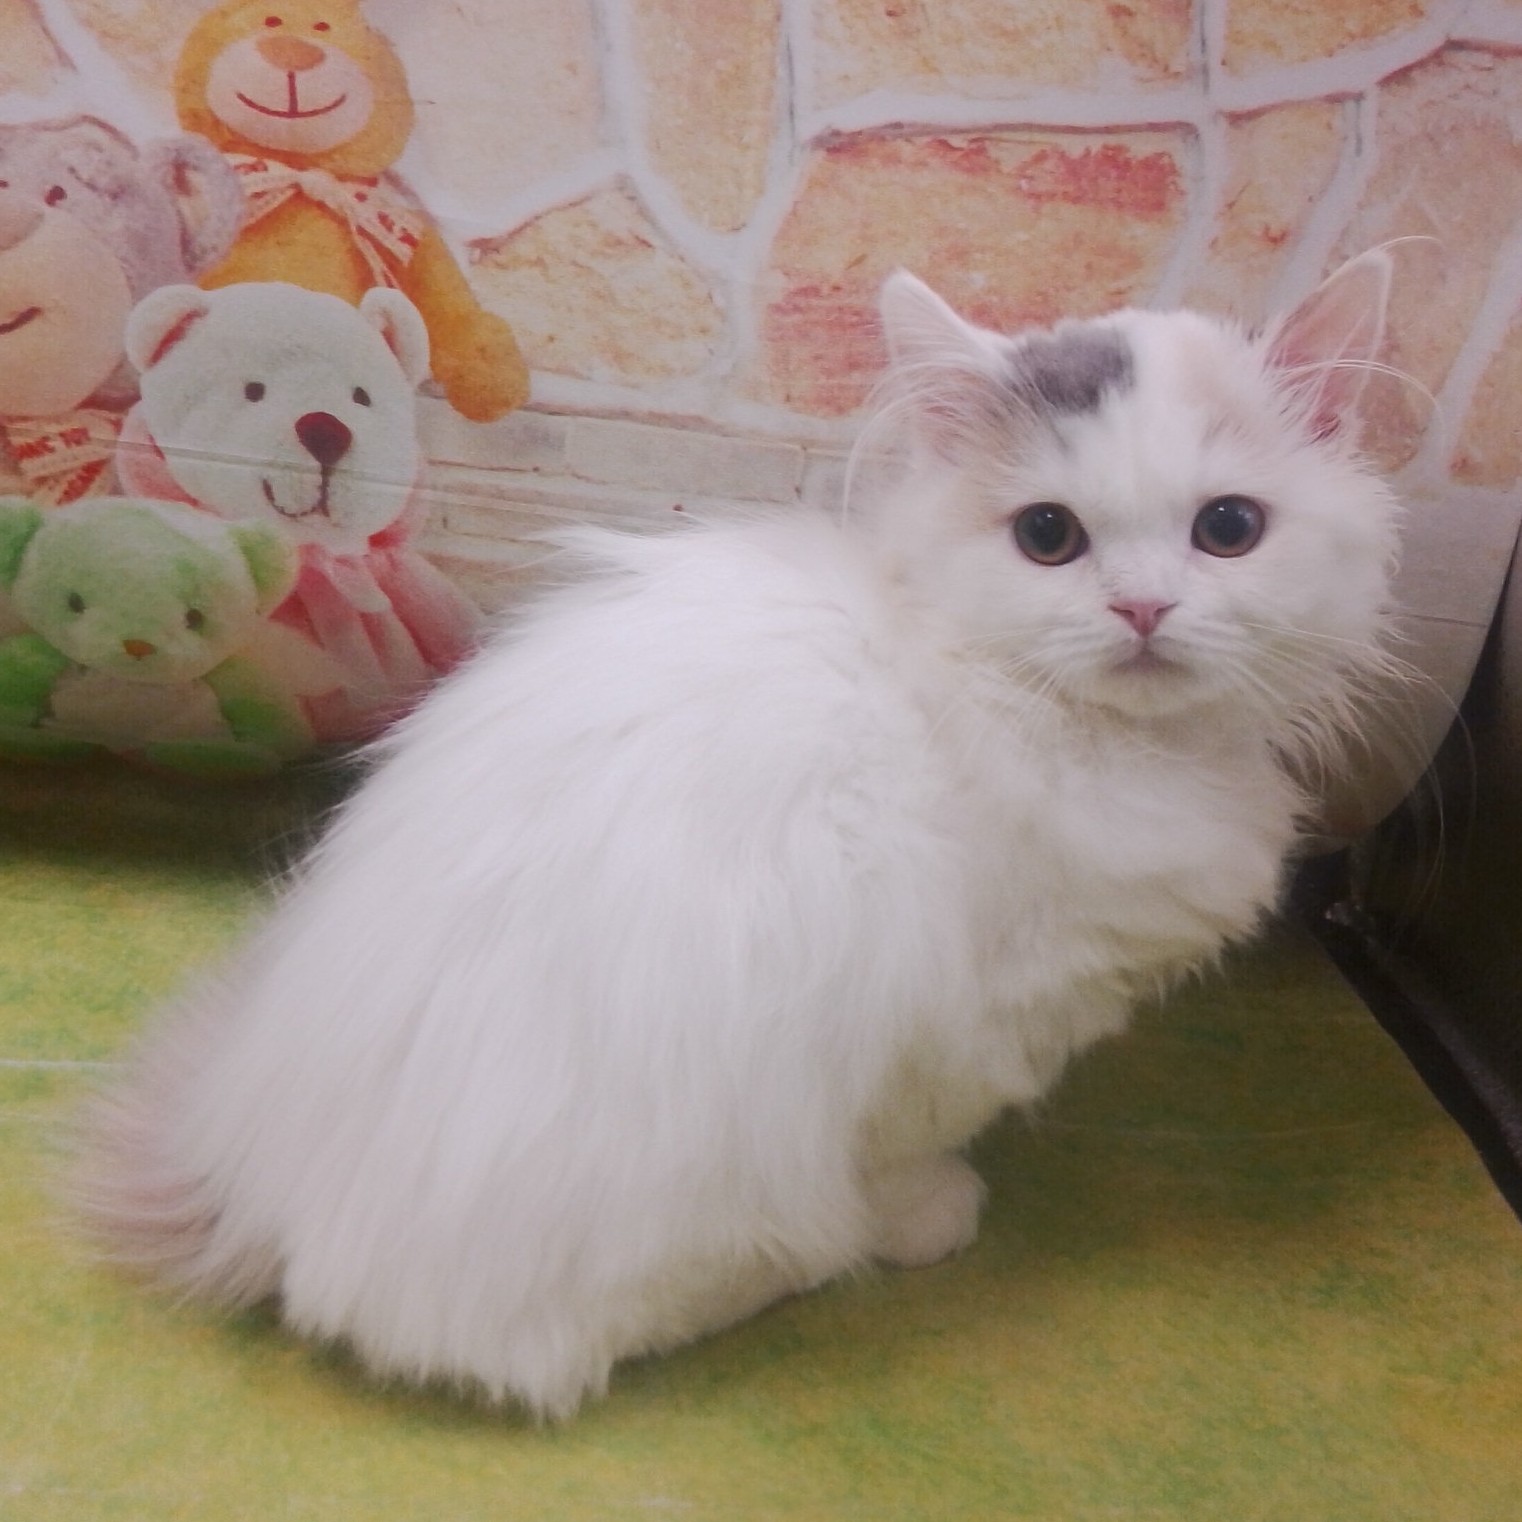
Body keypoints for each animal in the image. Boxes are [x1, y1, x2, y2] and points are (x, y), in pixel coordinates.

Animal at [74, 255, 1402, 1419]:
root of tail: (252, 1180)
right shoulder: (967, 1026)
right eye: (1048, 537)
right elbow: (907, 1148)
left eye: (1226, 529)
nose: (1140, 610)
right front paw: (926, 1216)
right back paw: (795, 1265)